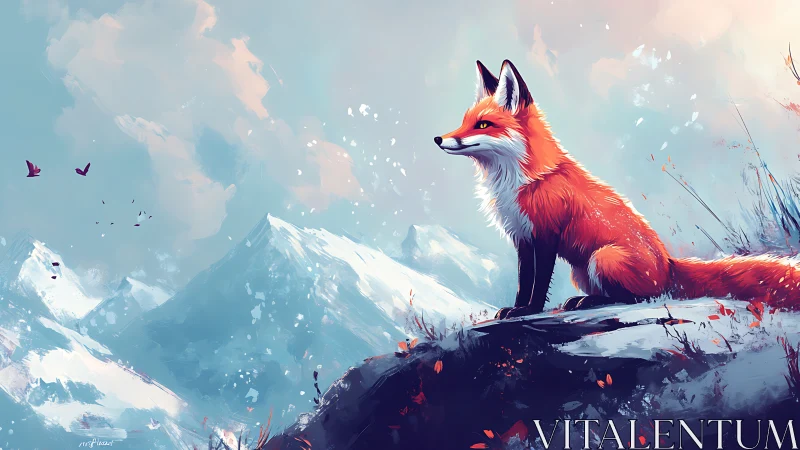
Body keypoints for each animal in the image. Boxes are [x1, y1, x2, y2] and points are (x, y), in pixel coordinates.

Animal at [434, 59, 800, 319]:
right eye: (464, 121)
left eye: (483, 124)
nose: (438, 138)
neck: (520, 181)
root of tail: (668, 264)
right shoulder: (522, 236)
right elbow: (525, 281)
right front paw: (516, 309)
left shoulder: (546, 234)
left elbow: (538, 285)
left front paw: (530, 311)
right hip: (582, 271)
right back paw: (584, 301)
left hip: (603, 258)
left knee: (638, 298)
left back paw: (585, 304)